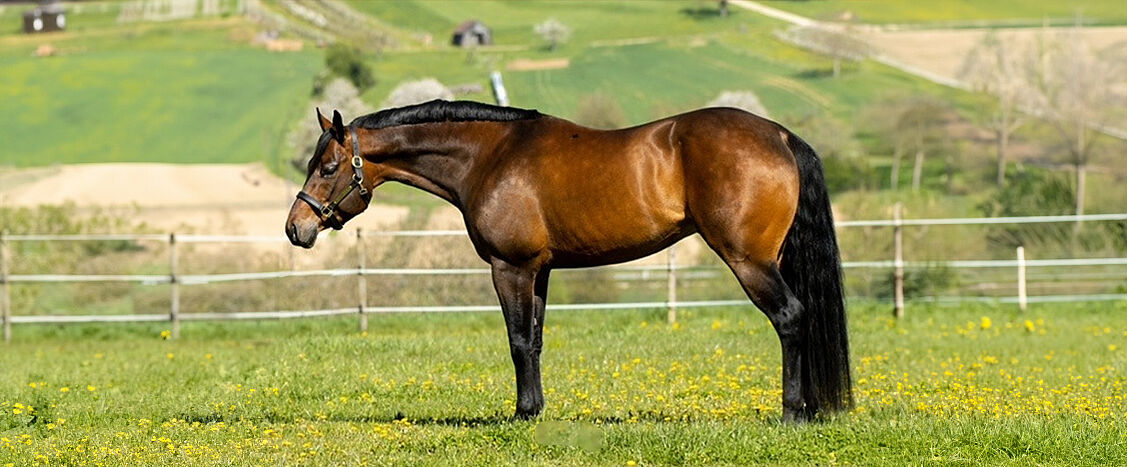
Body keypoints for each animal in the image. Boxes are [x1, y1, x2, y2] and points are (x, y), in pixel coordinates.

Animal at [285, 100, 851, 422]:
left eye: (328, 167)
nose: (296, 227)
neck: (491, 156)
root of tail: (779, 135)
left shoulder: (510, 267)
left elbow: (516, 342)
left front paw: (520, 415)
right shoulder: (540, 270)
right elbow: (534, 342)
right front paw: (536, 411)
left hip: (749, 260)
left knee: (790, 318)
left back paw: (792, 414)